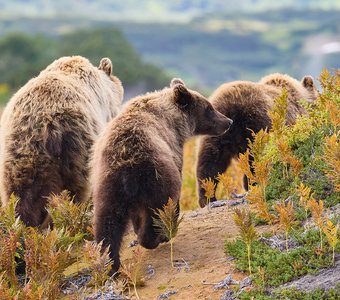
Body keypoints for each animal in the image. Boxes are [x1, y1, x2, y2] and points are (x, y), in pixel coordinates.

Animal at [91, 78, 234, 274]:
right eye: (209, 107)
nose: (229, 121)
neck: (173, 121)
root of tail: (128, 166)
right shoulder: (174, 151)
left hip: (108, 186)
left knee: (107, 225)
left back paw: (110, 264)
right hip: (156, 176)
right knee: (160, 207)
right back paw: (158, 236)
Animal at [197, 74, 318, 207]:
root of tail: (232, 104)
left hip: (217, 128)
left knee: (210, 161)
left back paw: (207, 196)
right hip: (257, 123)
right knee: (255, 158)